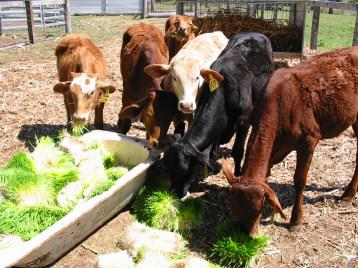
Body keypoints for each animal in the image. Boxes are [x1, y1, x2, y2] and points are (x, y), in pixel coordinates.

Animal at [164, 32, 274, 196]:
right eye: (168, 168)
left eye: (185, 170)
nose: (177, 193)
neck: (226, 89)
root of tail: (255, 33)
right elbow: (212, 151)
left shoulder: (243, 122)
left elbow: (238, 151)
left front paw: (238, 175)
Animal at [221, 46, 358, 237]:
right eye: (234, 207)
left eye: (258, 208)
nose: (247, 235)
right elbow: (266, 174)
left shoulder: (309, 140)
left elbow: (300, 180)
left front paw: (295, 220)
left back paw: (347, 195)